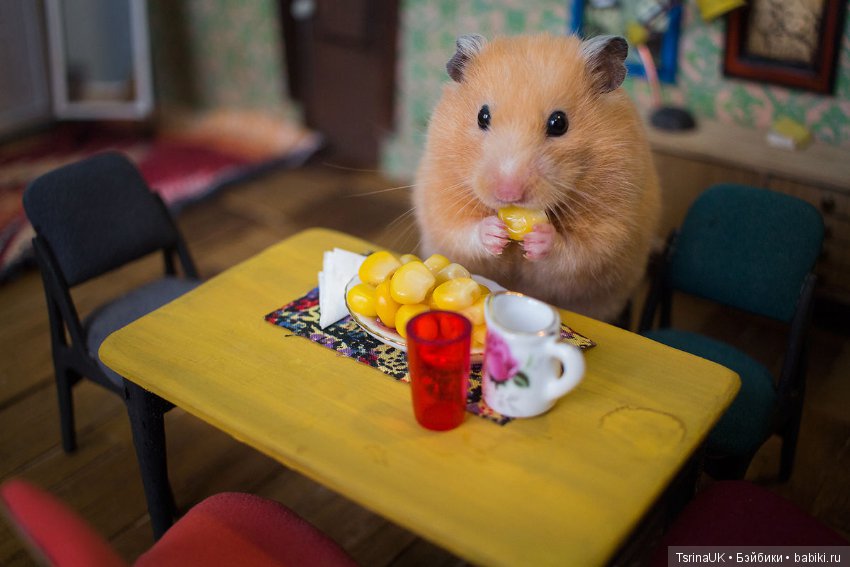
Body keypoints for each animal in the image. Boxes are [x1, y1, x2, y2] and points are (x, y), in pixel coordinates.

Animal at [412, 33, 661, 323]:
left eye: (559, 123)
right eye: (482, 116)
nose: (508, 194)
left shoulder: (612, 221)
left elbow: (578, 250)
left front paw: (539, 239)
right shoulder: (441, 193)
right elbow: (460, 230)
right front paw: (494, 231)